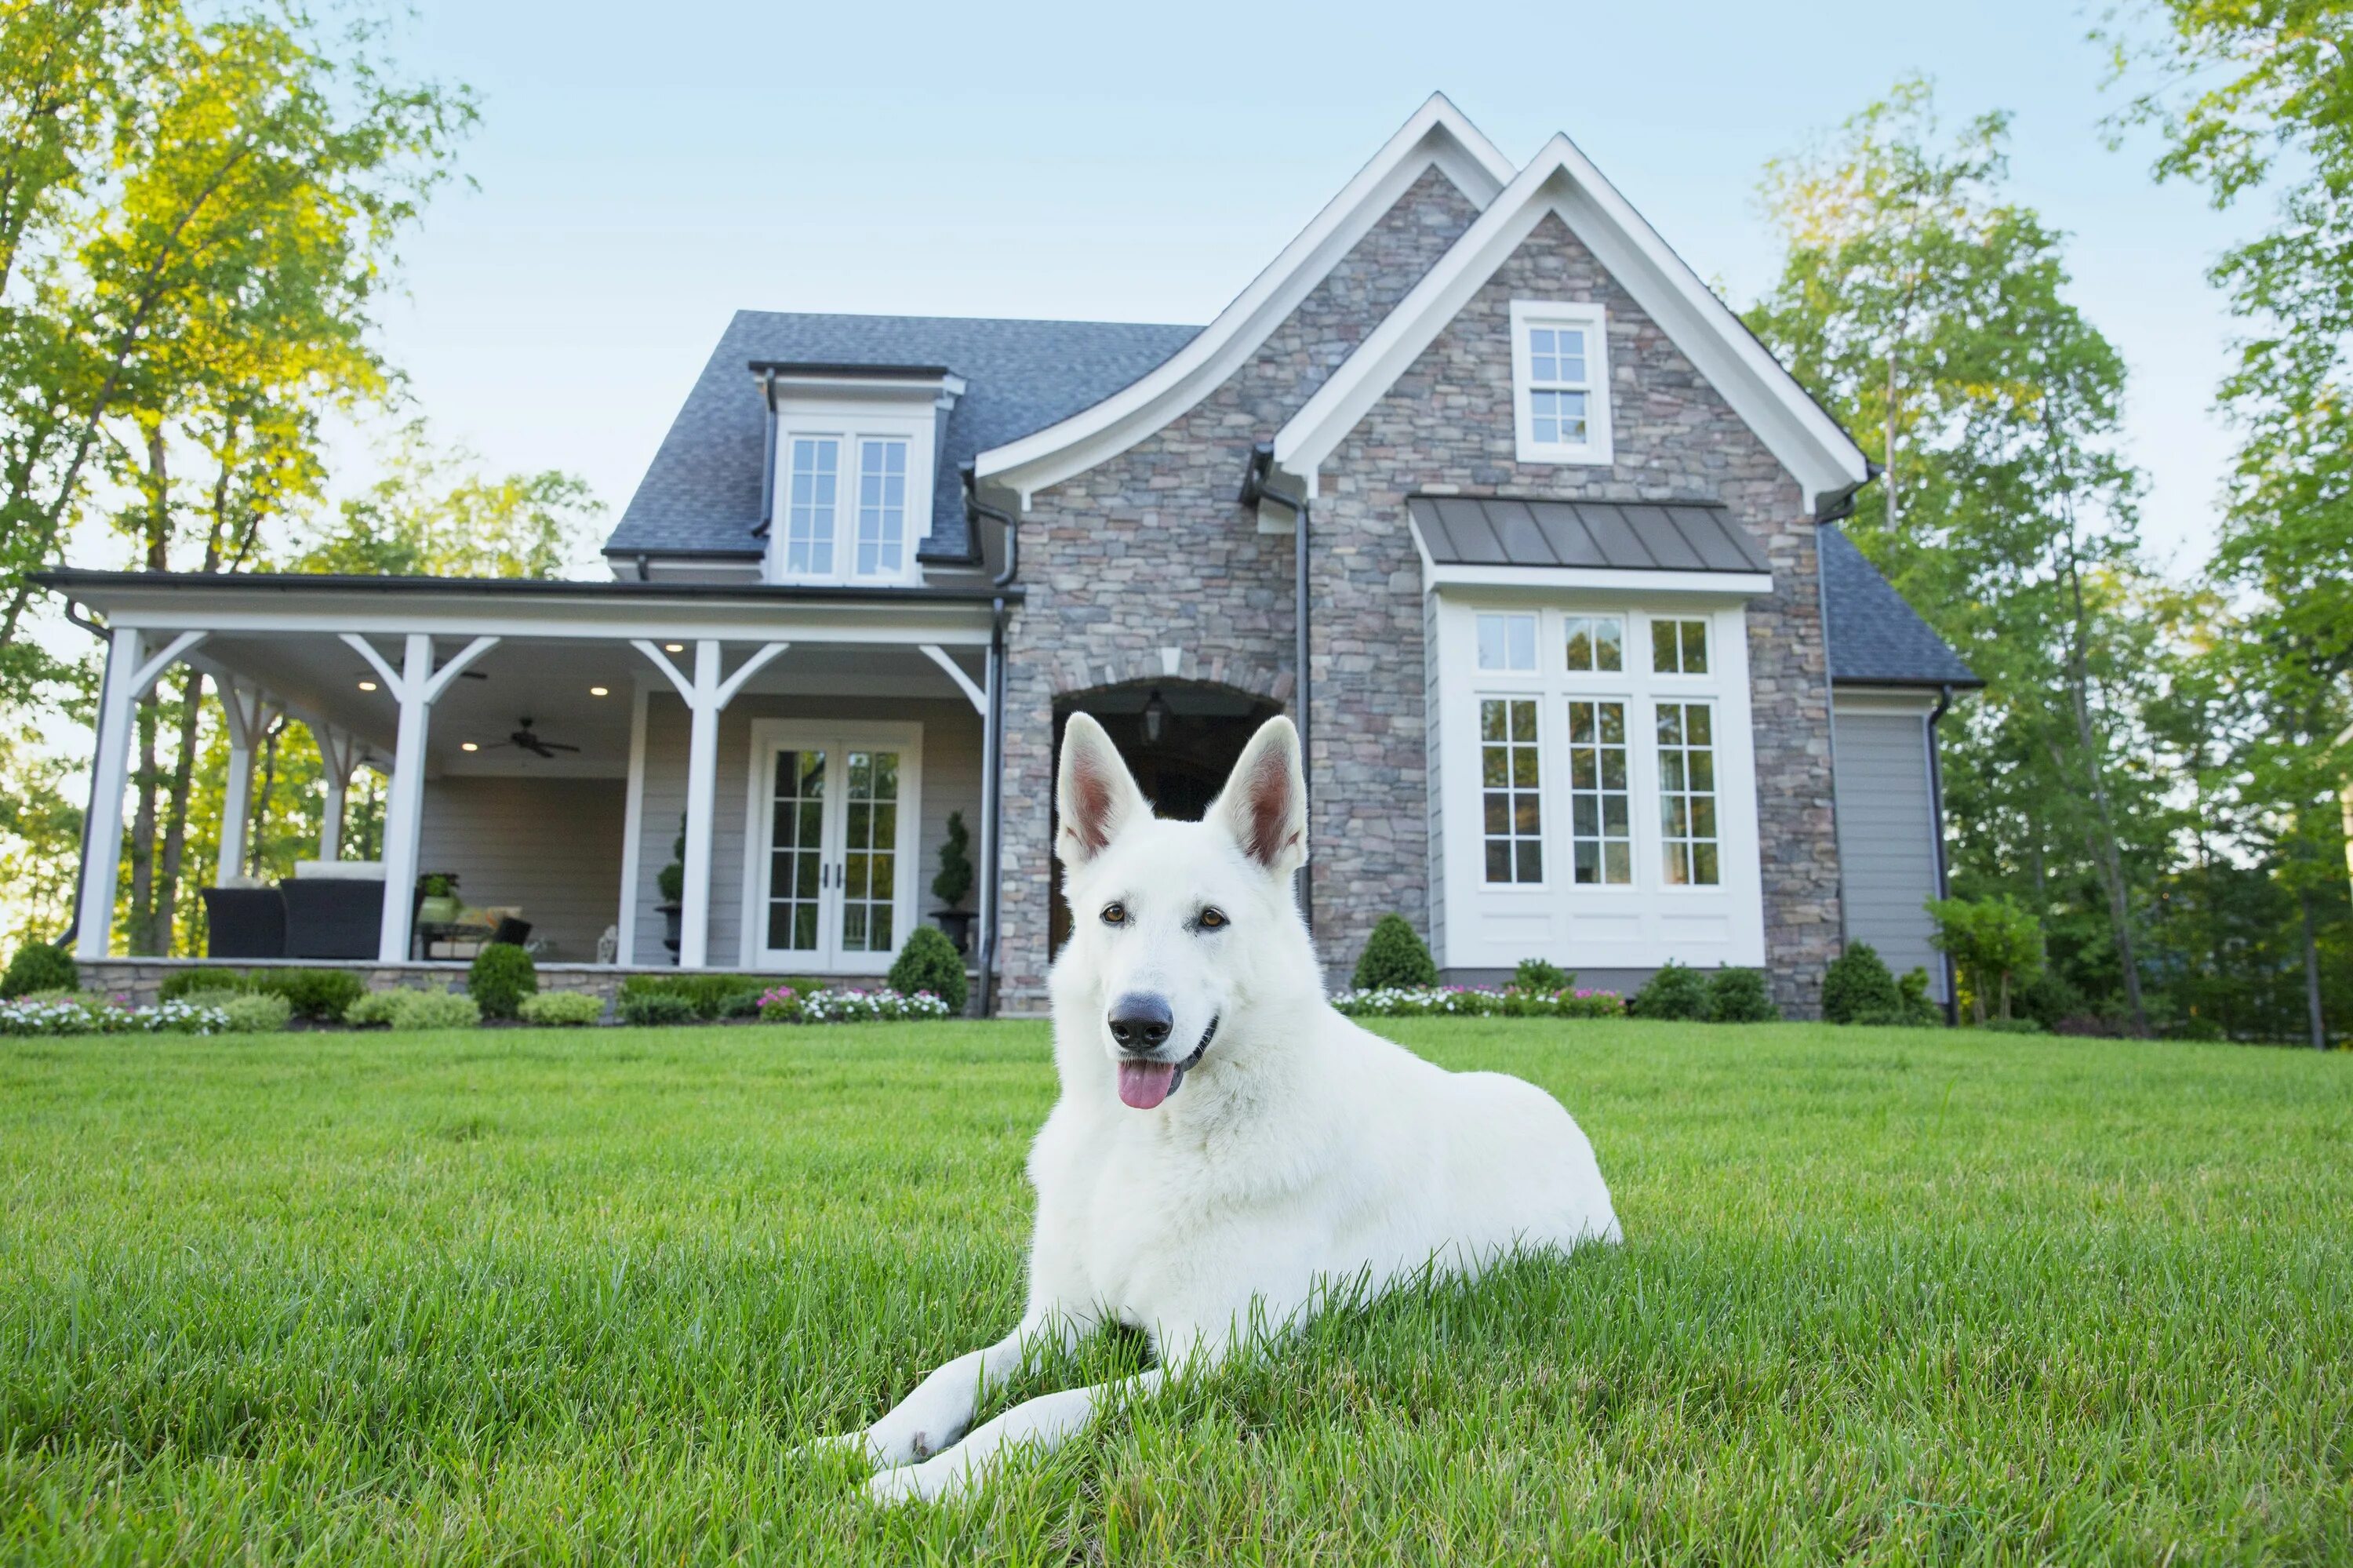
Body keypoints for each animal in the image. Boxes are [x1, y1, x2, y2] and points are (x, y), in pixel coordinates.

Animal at [828, 711, 1619, 1506]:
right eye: (1114, 913)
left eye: (1211, 919)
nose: (1137, 1024)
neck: (1148, 1144)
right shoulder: (1057, 1321)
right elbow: (954, 1370)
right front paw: (860, 1444)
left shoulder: (1204, 1359)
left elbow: (1037, 1410)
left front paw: (926, 1482)